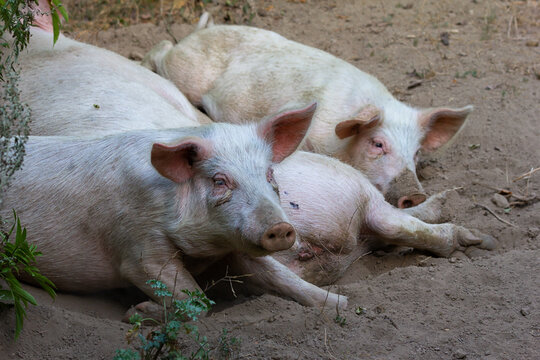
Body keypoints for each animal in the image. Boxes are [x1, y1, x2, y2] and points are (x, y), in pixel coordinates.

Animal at [0, 104, 346, 310]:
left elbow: (282, 278)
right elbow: (195, 301)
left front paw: (342, 301)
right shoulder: (137, 242)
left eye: (269, 174)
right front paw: (138, 311)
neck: (206, 248)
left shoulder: (238, 247)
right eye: (220, 181)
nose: (281, 227)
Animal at [142, 24, 472, 208]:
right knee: (161, 49)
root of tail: (198, 33)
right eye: (377, 144)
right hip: (183, 71)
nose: (415, 195)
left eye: (416, 153)